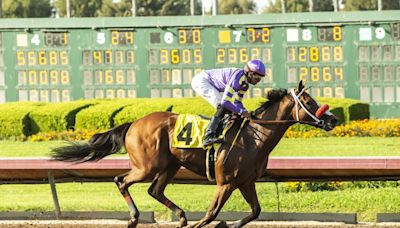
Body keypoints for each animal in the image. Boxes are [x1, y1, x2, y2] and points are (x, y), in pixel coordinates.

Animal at [50, 81, 338, 227]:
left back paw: (180, 217)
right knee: (121, 180)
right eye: (309, 102)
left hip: (170, 166)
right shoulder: (226, 183)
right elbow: (211, 214)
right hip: (147, 166)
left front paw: (231, 224)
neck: (254, 136)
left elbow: (255, 211)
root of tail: (133, 123)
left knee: (155, 190)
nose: (332, 119)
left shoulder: (245, 182)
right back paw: (134, 218)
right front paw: (217, 223)